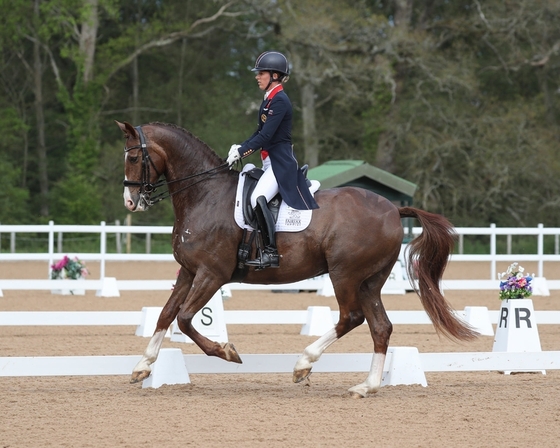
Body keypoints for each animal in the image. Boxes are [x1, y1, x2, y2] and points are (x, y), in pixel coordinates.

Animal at [118, 121, 476, 398]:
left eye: (134, 156)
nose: (131, 201)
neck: (205, 194)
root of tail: (392, 209)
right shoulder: (189, 271)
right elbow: (166, 314)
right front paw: (142, 366)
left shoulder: (211, 274)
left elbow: (185, 319)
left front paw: (227, 352)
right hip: (369, 281)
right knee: (380, 327)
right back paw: (366, 386)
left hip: (344, 274)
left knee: (351, 318)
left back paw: (304, 364)